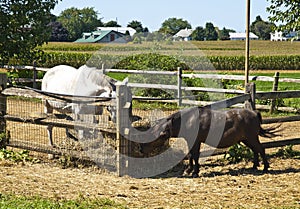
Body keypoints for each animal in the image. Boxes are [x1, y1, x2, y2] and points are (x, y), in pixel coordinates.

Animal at [139, 107, 280, 177]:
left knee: (261, 149)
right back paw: (255, 166)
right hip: (246, 139)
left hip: (251, 138)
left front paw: (194, 171)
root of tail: (254, 113)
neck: (188, 120)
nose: (140, 149)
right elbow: (191, 155)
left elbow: (194, 156)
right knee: (255, 150)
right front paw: (190, 170)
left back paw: (265, 167)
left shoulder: (196, 142)